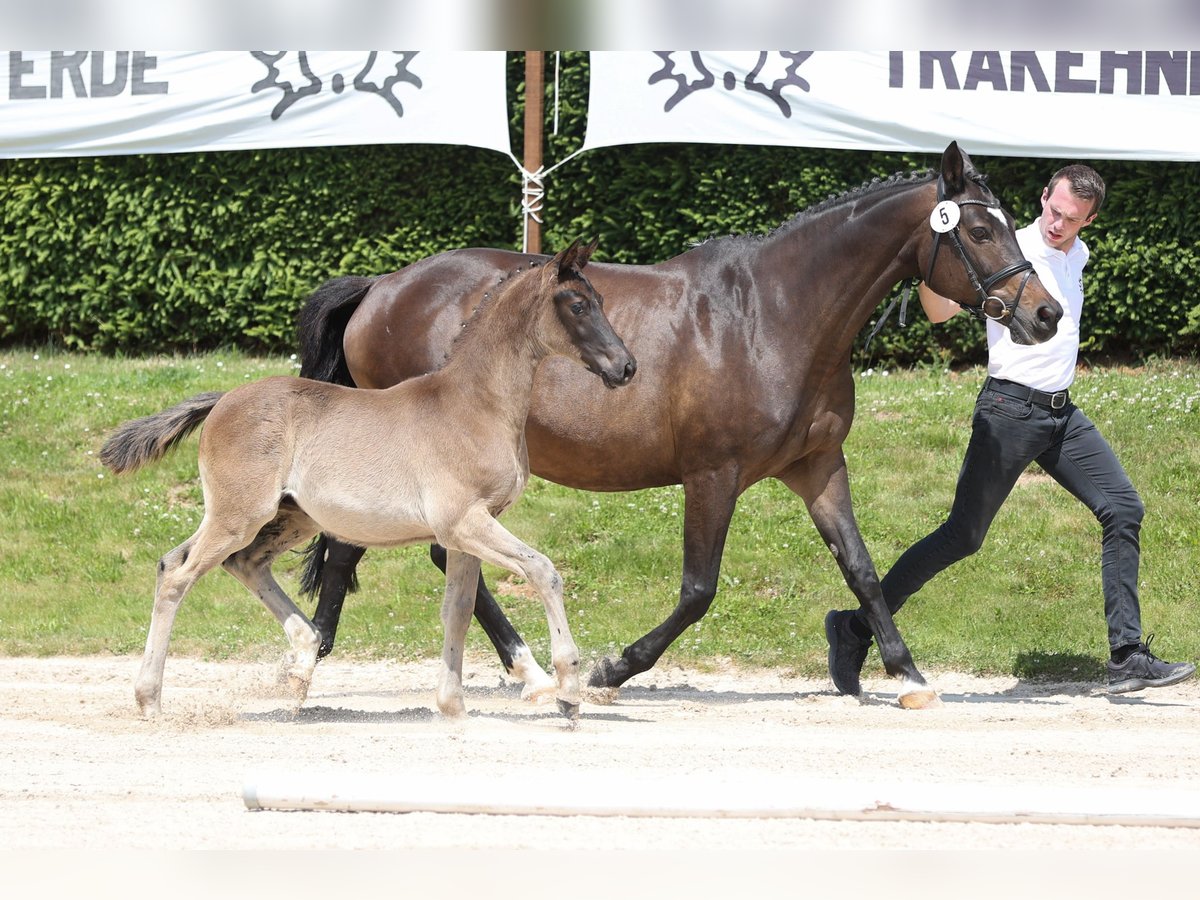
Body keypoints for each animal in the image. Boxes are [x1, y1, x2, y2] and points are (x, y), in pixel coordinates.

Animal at [100, 243, 638, 724]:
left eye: (601, 298)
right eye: (578, 305)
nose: (626, 366)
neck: (474, 405)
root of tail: (222, 401)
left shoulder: (464, 533)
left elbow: (458, 608)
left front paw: (452, 706)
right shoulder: (464, 521)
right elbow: (543, 571)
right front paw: (568, 692)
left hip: (286, 517)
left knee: (227, 562)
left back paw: (302, 659)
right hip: (240, 515)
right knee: (179, 575)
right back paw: (151, 700)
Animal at [297, 141, 1060, 710]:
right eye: (981, 230)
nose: (1045, 314)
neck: (775, 313)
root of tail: (382, 286)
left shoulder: (817, 467)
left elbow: (863, 570)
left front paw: (908, 675)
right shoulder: (712, 474)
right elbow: (699, 590)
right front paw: (610, 670)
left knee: (404, 552)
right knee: (369, 549)